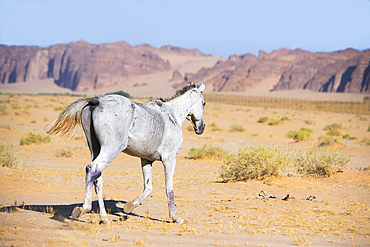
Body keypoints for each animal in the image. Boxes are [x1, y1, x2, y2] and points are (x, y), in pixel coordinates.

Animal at [46, 81, 205, 224]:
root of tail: (98, 100)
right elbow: (169, 189)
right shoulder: (170, 159)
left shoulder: (146, 160)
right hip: (110, 149)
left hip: (95, 149)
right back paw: (83, 209)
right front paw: (175, 218)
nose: (201, 127)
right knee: (91, 169)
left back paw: (104, 218)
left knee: (97, 178)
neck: (172, 115)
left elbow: (148, 188)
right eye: (203, 103)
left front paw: (129, 206)